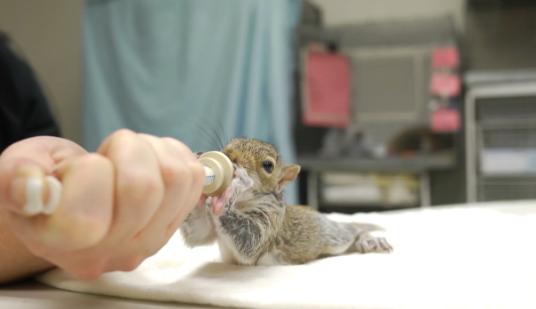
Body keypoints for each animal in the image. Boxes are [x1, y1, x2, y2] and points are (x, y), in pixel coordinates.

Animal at [182, 138, 392, 264]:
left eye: (268, 165)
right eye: (230, 144)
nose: (230, 156)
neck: (241, 204)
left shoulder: (271, 219)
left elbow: (249, 240)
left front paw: (237, 182)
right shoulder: (207, 229)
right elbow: (197, 233)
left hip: (332, 237)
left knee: (352, 231)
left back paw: (369, 239)